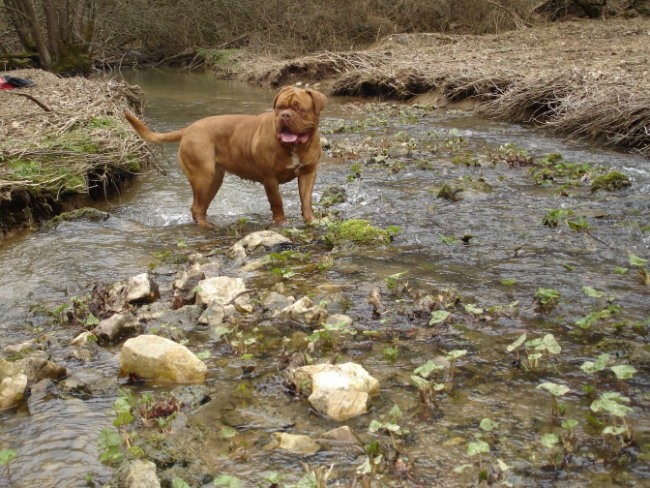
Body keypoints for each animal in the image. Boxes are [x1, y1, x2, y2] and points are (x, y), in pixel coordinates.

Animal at [124, 86, 326, 227]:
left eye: (299, 109)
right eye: (280, 107)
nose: (284, 115)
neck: (294, 147)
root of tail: (188, 129)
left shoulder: (308, 173)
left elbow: (306, 199)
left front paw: (311, 220)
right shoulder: (270, 178)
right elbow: (277, 202)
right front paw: (281, 223)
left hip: (214, 179)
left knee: (201, 206)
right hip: (203, 177)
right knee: (196, 207)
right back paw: (206, 227)